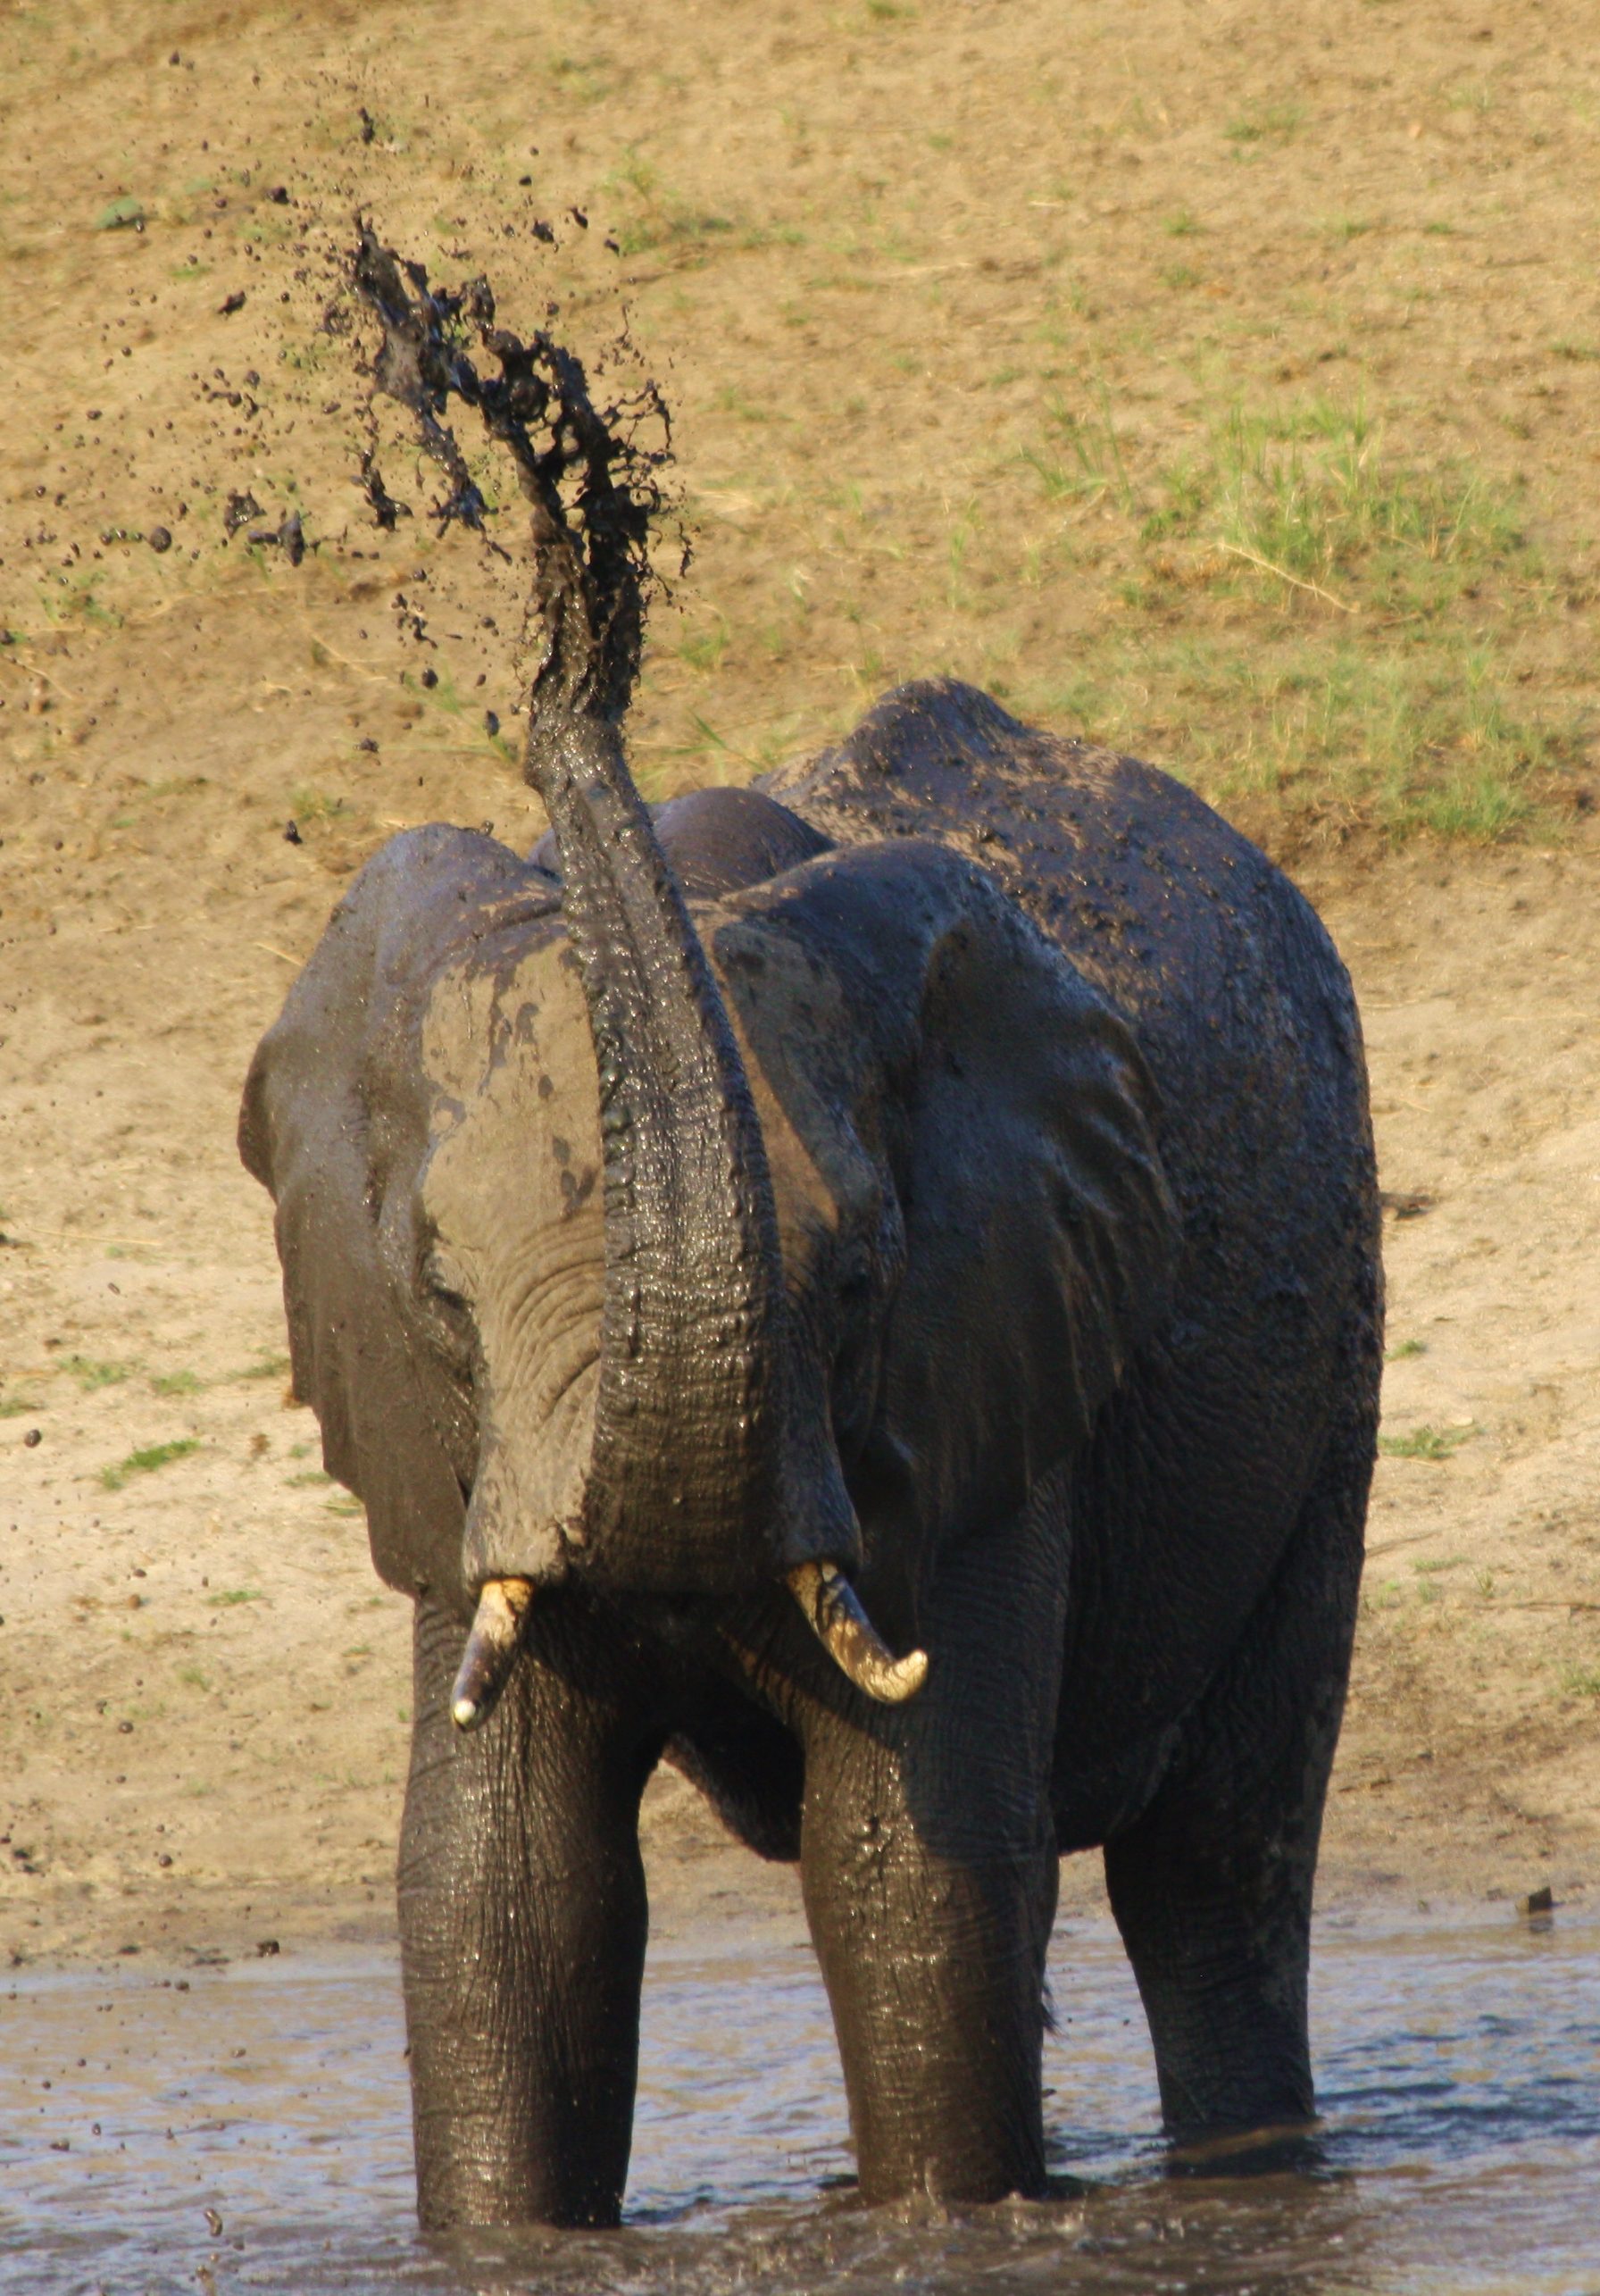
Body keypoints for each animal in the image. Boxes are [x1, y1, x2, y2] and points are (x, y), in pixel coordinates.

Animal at [243, 674, 1377, 2222]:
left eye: (856, 1283)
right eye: (439, 1291)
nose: (570, 679)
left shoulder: (982, 1370)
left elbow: (907, 1861)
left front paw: (945, 2224)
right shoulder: (449, 1450)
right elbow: (505, 1888)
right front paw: (504, 2241)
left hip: (1333, 1355)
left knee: (1216, 1866)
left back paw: (1251, 2174)